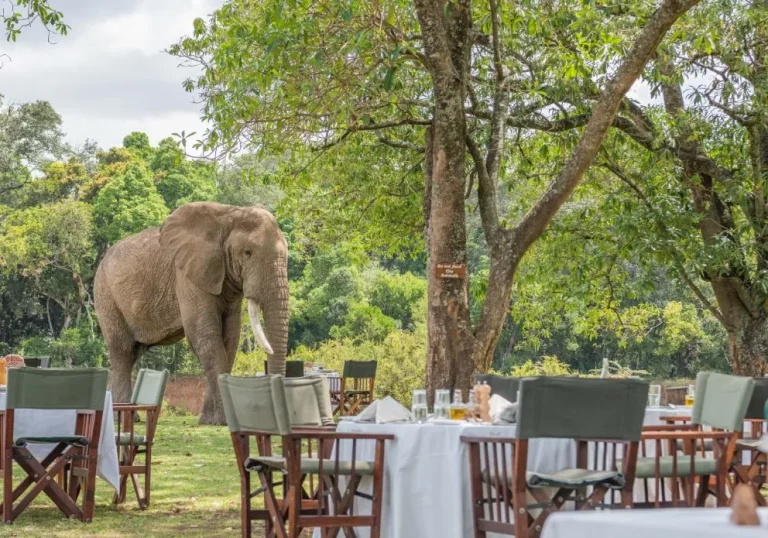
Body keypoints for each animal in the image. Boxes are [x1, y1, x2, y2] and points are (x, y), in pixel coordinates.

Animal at [94, 202, 288, 425]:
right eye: (248, 253)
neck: (229, 215)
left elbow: (230, 339)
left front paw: (209, 422)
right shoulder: (187, 276)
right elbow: (205, 337)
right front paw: (221, 421)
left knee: (133, 352)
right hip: (105, 294)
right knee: (122, 350)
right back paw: (122, 419)